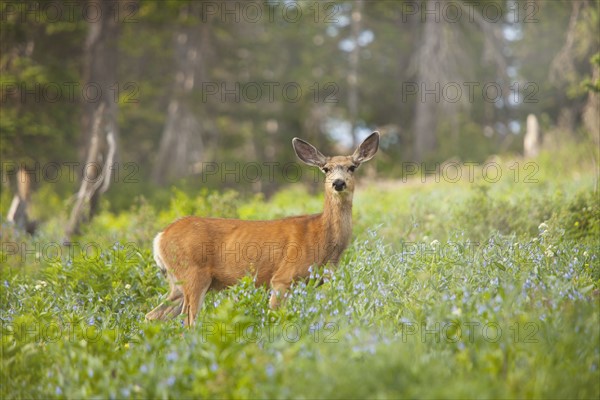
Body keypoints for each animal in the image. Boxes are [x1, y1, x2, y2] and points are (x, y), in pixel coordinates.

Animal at [145, 131, 378, 324]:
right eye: (326, 168)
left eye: (352, 167)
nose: (338, 183)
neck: (322, 237)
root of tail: (159, 237)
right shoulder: (282, 278)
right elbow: (276, 316)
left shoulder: (315, 282)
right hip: (193, 274)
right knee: (188, 322)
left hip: (176, 284)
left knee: (152, 315)